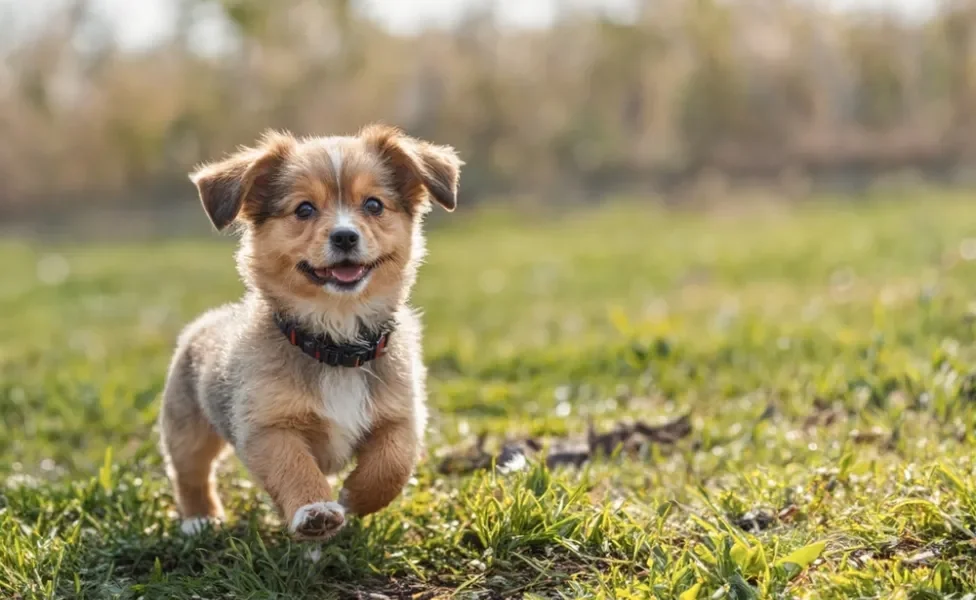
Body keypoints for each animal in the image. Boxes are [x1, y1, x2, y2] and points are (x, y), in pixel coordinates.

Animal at [158, 124, 464, 540]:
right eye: (304, 209)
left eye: (374, 205)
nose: (345, 236)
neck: (336, 344)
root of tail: (208, 320)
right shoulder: (268, 427)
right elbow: (294, 467)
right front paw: (314, 509)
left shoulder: (401, 416)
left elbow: (393, 464)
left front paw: (355, 496)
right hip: (186, 429)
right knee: (191, 473)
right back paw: (200, 519)